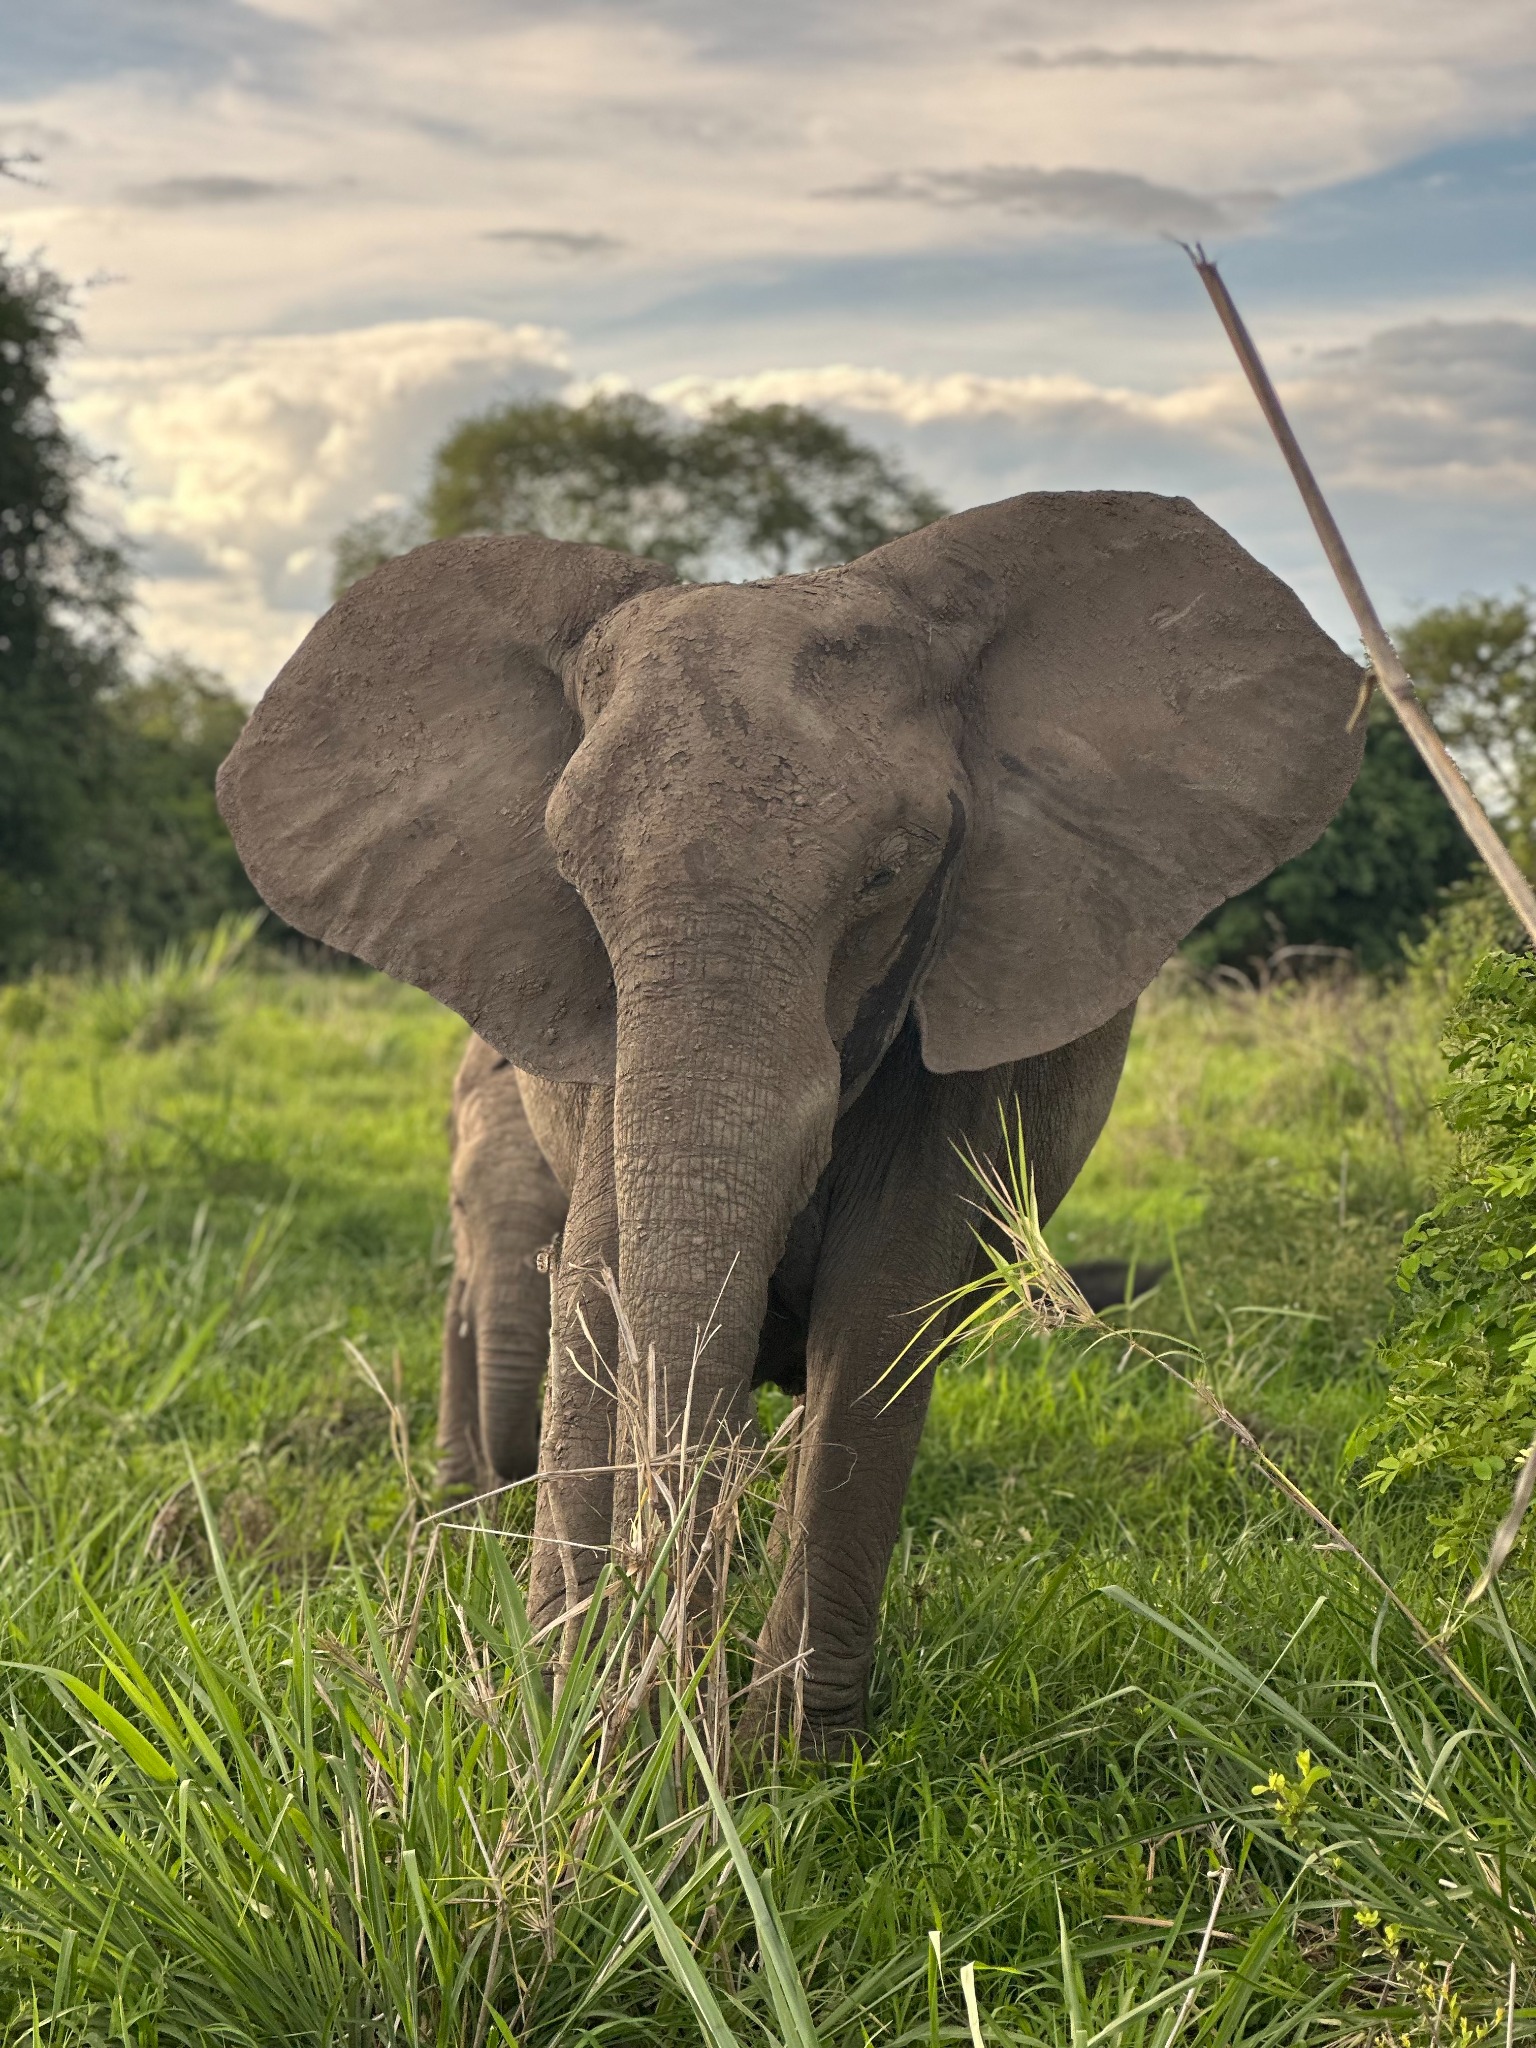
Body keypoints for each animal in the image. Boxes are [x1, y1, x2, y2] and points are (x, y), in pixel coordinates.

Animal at [217, 489, 1364, 1752]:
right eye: (569, 874)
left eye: (889, 873)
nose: (664, 1712)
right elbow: (604, 1271)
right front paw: (570, 1719)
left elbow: (881, 1306)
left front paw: (792, 1754)